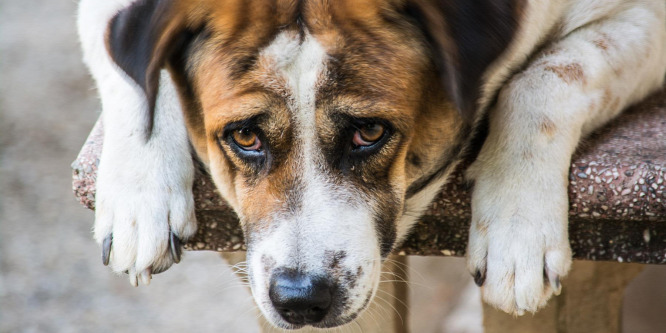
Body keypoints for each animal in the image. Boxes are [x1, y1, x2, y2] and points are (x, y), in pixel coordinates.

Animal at [76, 0, 664, 326]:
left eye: (370, 132)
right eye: (244, 136)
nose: (300, 300)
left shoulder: (647, 16)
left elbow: (549, 75)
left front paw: (518, 229)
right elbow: (135, 75)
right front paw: (138, 200)